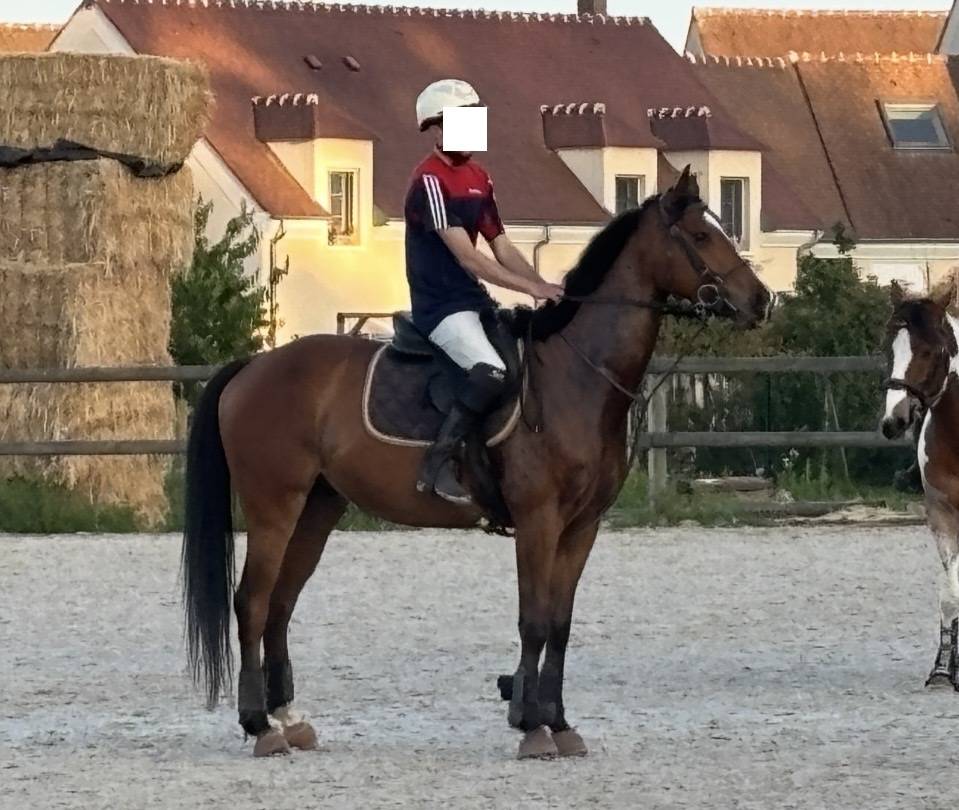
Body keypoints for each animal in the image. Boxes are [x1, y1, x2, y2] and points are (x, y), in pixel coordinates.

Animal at [180, 166, 772, 759]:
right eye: (701, 236)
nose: (761, 301)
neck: (577, 376)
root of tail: (254, 366)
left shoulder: (582, 526)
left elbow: (560, 623)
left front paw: (560, 723)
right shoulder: (539, 520)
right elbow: (534, 621)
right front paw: (530, 725)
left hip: (318, 506)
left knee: (281, 603)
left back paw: (289, 719)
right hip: (274, 505)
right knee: (253, 602)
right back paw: (259, 726)